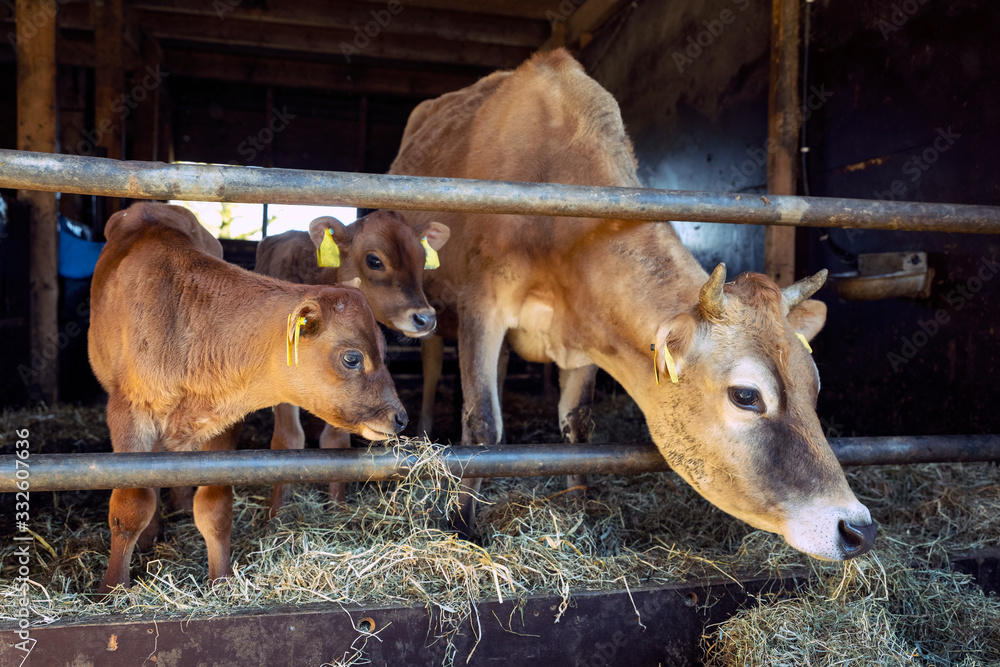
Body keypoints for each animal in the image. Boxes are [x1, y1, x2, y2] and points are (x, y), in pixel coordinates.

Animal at [89, 202, 407, 594]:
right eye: (352, 357)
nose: (400, 417)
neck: (185, 327)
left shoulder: (222, 423)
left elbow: (215, 508)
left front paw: (221, 581)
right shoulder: (128, 414)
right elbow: (130, 506)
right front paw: (112, 589)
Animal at [254, 210, 449, 516]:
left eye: (421, 258)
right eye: (374, 260)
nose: (425, 318)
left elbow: (336, 444)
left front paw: (338, 508)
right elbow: (288, 439)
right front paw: (276, 514)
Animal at [388, 49, 876, 561]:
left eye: (815, 385)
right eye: (746, 395)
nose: (857, 528)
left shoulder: (584, 331)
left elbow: (577, 426)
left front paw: (577, 510)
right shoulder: (482, 307)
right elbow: (483, 423)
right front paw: (462, 525)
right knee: (431, 367)